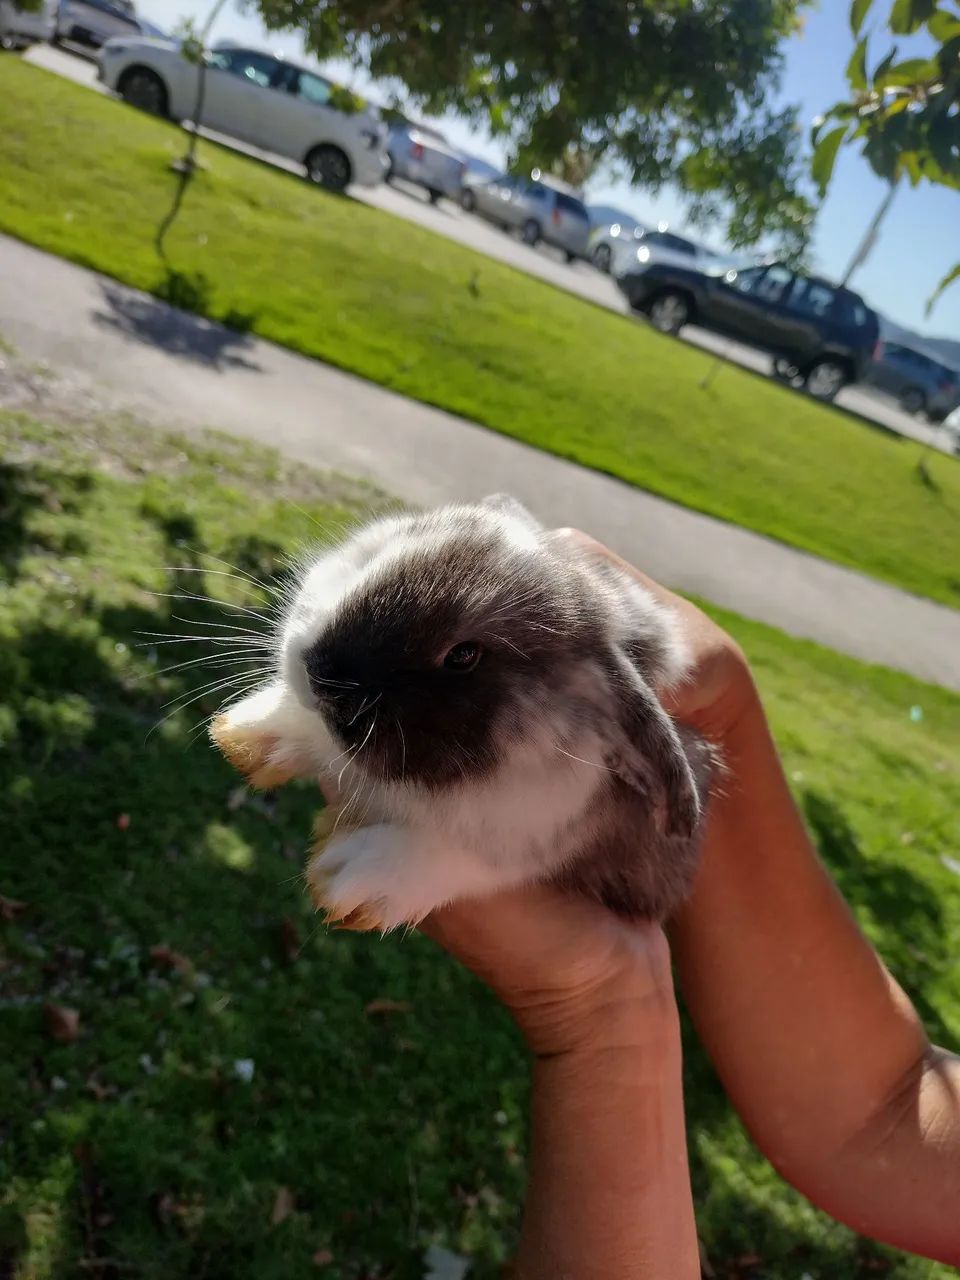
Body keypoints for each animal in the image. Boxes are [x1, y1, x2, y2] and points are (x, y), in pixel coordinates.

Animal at [210, 496, 717, 931]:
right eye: (376, 559)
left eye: (463, 656)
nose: (320, 674)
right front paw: (251, 734)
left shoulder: (540, 831)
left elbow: (468, 858)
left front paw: (349, 881)